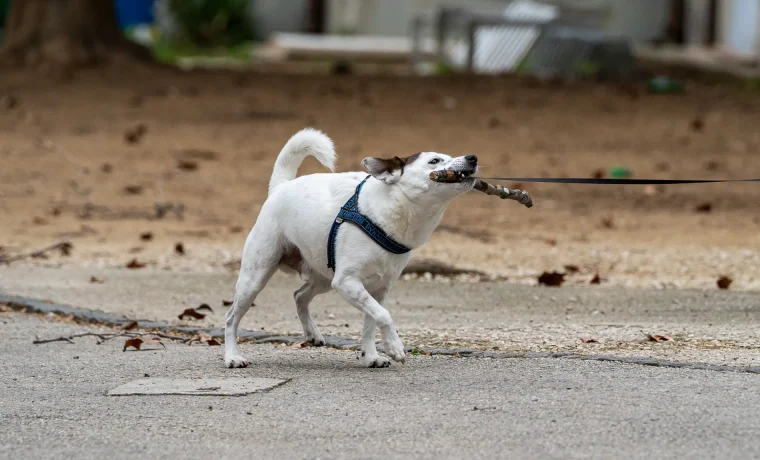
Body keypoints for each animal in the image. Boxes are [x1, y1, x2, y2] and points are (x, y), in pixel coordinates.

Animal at [223, 127, 478, 368]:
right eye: (434, 161)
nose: (472, 157)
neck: (394, 211)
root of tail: (281, 187)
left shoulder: (377, 289)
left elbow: (371, 322)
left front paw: (371, 356)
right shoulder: (347, 282)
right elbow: (384, 315)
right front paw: (394, 347)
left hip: (323, 277)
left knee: (299, 296)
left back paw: (312, 333)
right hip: (256, 278)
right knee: (231, 318)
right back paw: (233, 356)